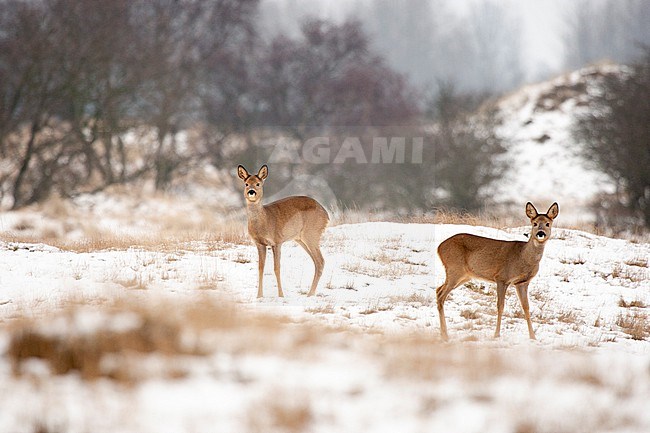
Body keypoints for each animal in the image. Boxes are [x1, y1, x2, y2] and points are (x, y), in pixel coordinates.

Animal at [237, 165, 330, 296]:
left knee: (320, 260)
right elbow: (261, 268)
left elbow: (277, 268)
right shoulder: (259, 243)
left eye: (258, 184)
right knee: (317, 262)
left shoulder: (277, 241)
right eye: (246, 183)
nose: (251, 191)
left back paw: (310, 294)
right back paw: (310, 293)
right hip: (301, 239)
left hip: (312, 234)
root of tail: (326, 215)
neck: (264, 221)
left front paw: (281, 295)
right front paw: (259, 296)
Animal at [436, 201, 556, 340]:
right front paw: (496, 335)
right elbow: (500, 306)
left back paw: (443, 333)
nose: (540, 233)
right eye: (534, 223)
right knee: (441, 295)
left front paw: (533, 337)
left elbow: (526, 307)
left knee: (438, 290)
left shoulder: (522, 282)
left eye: (548, 224)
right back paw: (445, 335)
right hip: (454, 269)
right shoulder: (501, 278)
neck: (523, 258)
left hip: (463, 275)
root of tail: (439, 248)